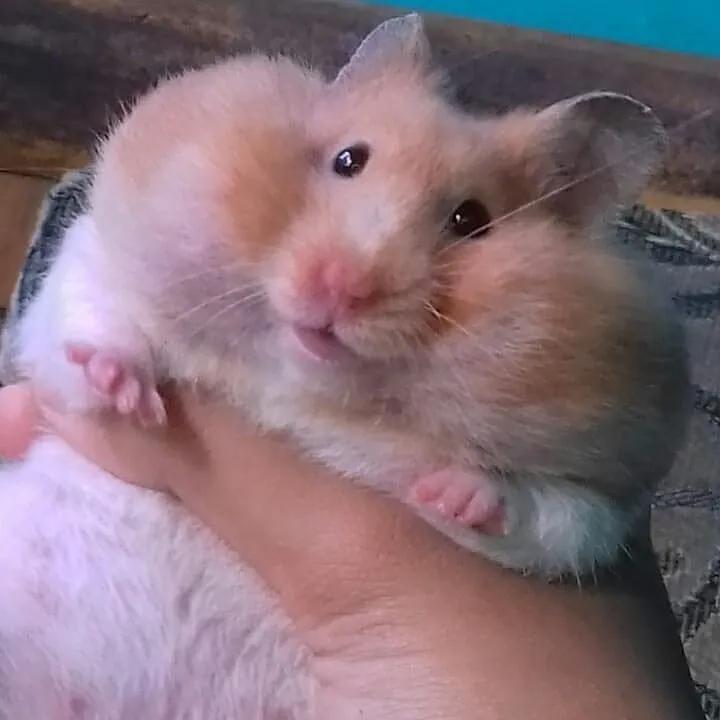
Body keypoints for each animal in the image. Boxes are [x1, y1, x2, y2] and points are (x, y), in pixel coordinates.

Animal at [0, 13, 689, 719]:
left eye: (471, 219)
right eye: (348, 159)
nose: (338, 286)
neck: (301, 389)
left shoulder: (607, 495)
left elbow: (550, 517)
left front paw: (453, 494)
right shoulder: (90, 261)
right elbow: (83, 326)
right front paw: (130, 394)